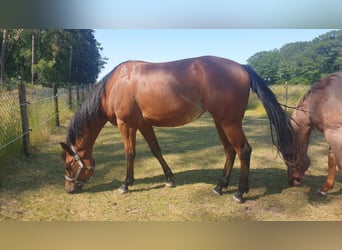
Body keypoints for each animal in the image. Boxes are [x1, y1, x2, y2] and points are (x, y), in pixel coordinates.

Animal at [60, 55, 292, 202]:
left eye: (69, 165)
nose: (68, 189)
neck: (115, 85)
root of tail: (242, 67)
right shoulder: (144, 124)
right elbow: (156, 150)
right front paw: (169, 179)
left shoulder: (126, 124)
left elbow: (130, 153)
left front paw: (125, 184)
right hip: (220, 121)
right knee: (230, 150)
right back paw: (220, 187)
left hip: (230, 122)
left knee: (243, 150)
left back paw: (240, 193)